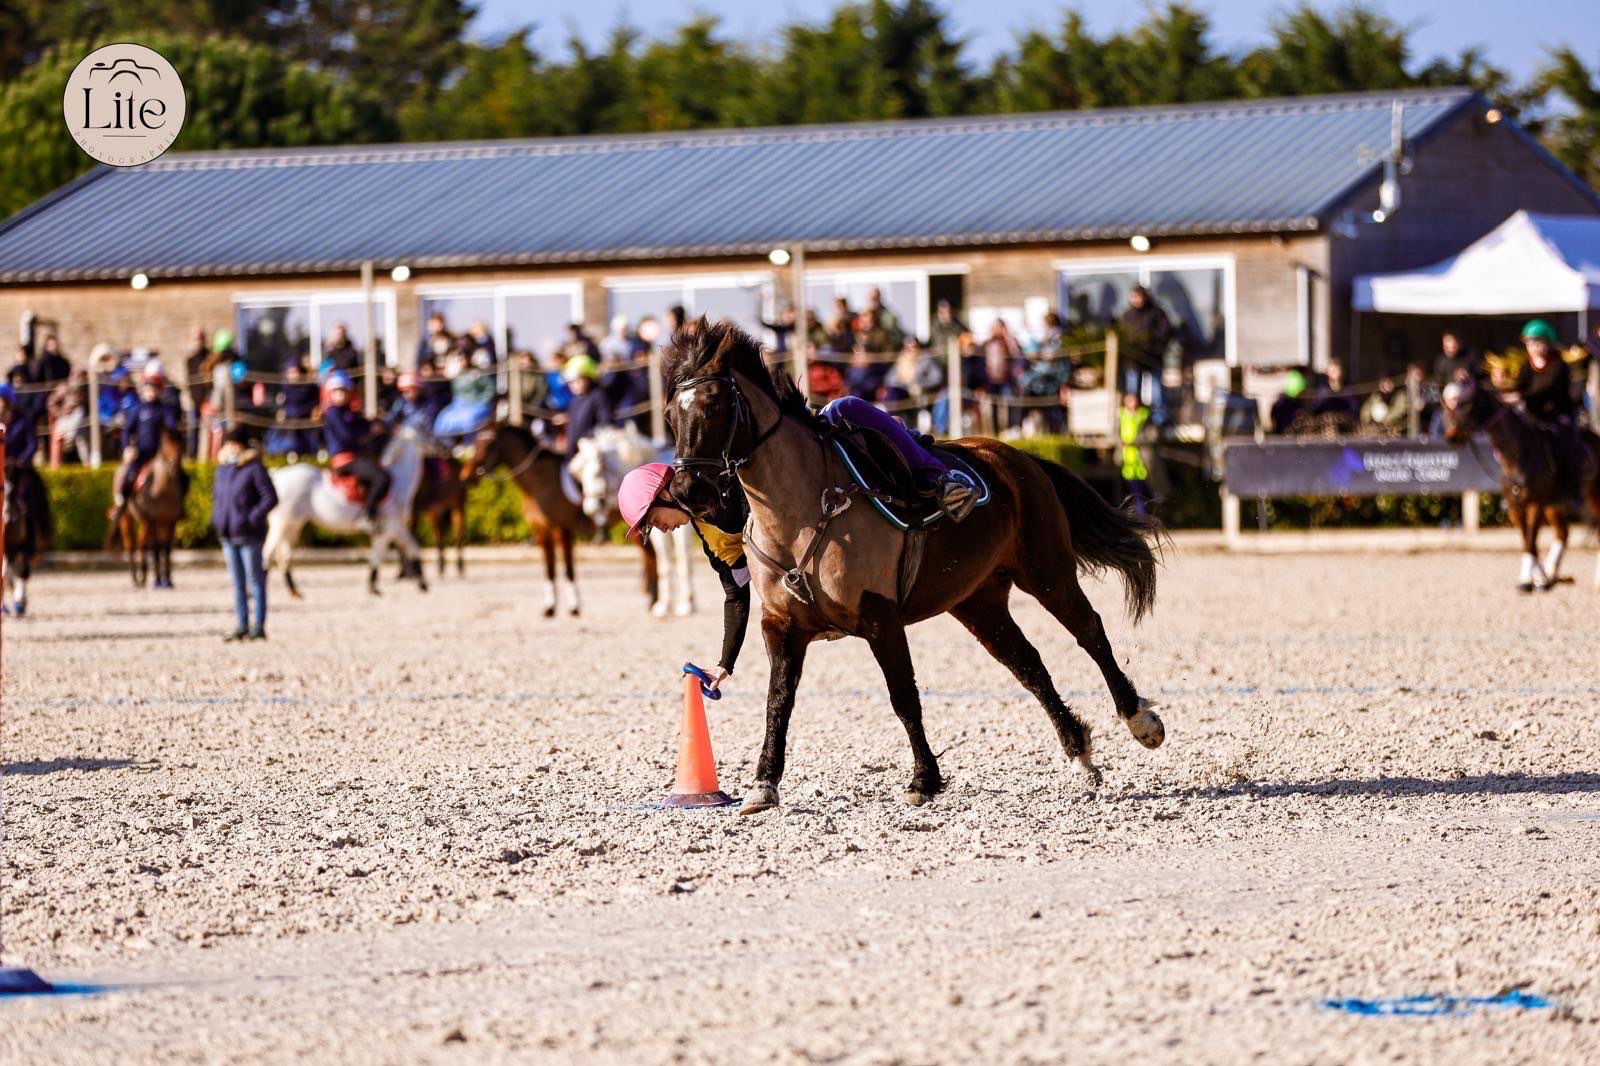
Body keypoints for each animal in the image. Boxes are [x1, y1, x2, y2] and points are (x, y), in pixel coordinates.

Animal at [114, 431, 185, 589]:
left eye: (181, 442)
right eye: (165, 444)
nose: (174, 464)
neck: (164, 489)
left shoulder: (170, 522)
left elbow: (166, 548)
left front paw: (167, 579)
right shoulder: (153, 520)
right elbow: (156, 548)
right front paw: (158, 579)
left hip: (146, 522)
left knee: (141, 542)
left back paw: (143, 575)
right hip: (127, 518)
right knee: (131, 544)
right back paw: (135, 577)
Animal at [264, 426, 427, 597]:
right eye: (425, 432)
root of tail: (275, 475)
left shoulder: (397, 527)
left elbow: (413, 547)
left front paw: (422, 583)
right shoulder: (387, 529)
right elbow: (378, 555)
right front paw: (372, 586)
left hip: (293, 524)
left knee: (284, 555)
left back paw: (294, 590)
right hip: (281, 524)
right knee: (268, 554)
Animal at [570, 425, 698, 618]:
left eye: (599, 468)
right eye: (581, 475)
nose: (590, 507)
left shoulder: (683, 531)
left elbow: (683, 561)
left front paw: (688, 605)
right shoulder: (660, 533)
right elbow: (665, 566)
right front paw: (664, 605)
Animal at [663, 320, 1166, 815]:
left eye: (714, 405)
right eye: (670, 414)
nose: (689, 489)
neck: (802, 514)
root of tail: (1020, 457)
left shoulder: (880, 617)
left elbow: (903, 695)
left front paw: (924, 779)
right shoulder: (780, 625)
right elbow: (778, 701)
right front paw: (764, 783)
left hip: (1047, 573)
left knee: (1090, 632)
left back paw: (1139, 720)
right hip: (979, 602)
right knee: (1029, 666)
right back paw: (1079, 751)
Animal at [1441, 379, 1600, 591]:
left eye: (1466, 404)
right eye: (1449, 406)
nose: (1451, 436)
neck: (1517, 455)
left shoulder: (1535, 504)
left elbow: (1531, 537)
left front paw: (1530, 578)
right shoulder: (1515, 506)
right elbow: (1526, 539)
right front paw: (1537, 576)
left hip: (1594, 495)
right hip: (1555, 505)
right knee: (1563, 533)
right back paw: (1552, 573)